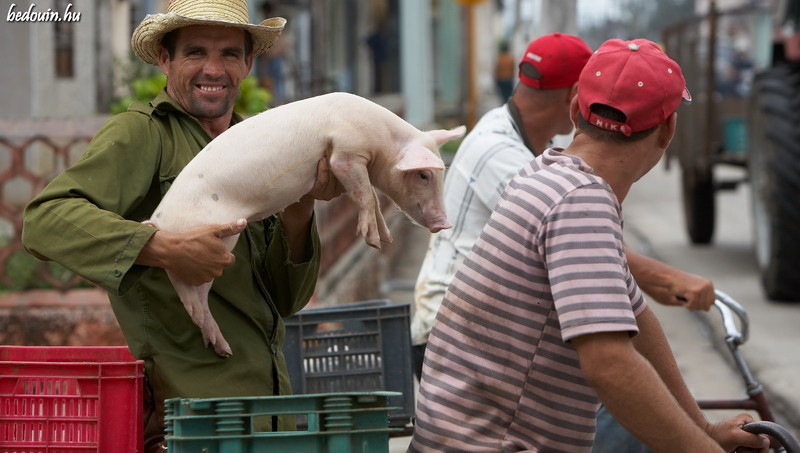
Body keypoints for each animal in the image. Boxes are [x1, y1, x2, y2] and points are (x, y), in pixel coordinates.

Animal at [144, 92, 462, 356]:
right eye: (424, 175)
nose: (445, 223)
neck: (381, 139)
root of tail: (158, 221)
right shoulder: (346, 154)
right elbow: (363, 193)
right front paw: (372, 240)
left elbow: (371, 196)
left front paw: (385, 239)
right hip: (206, 242)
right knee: (185, 286)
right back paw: (216, 338)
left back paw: (221, 348)